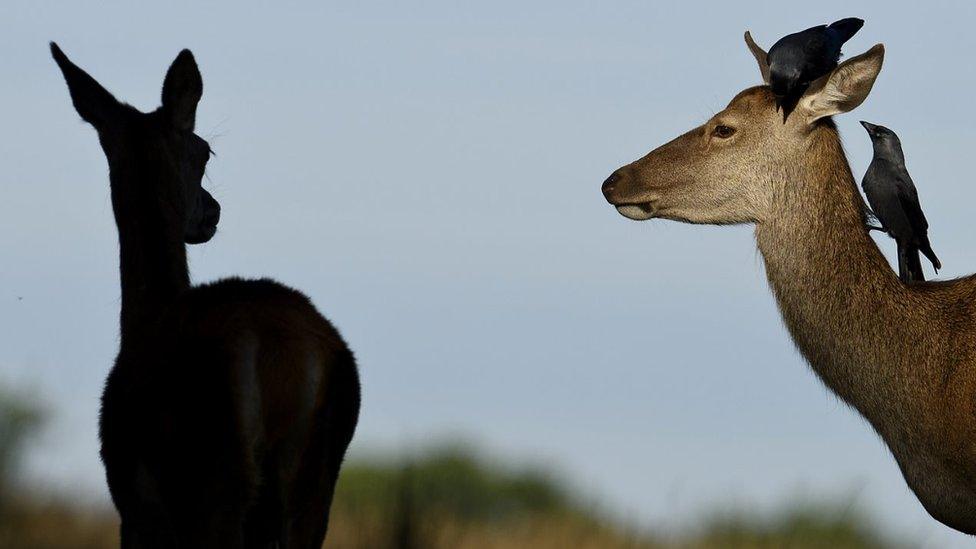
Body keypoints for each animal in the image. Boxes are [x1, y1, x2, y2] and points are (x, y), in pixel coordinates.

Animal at [50, 44, 362, 548]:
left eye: (205, 149)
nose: (212, 211)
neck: (143, 318)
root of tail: (281, 351)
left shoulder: (133, 506)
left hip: (214, 471)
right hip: (315, 480)